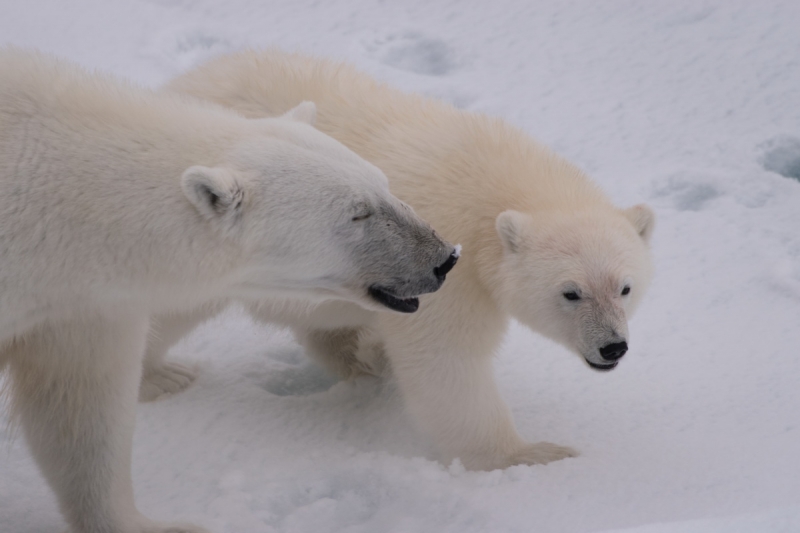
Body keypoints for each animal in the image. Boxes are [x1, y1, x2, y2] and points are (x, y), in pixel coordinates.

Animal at [0, 50, 456, 532]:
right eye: (358, 213)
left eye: (383, 183)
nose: (444, 259)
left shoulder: (79, 303)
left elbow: (79, 407)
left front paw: (156, 525)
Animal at [164, 50, 656, 470]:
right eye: (571, 293)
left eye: (625, 288)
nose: (613, 347)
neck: (486, 181)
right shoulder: (442, 268)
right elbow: (447, 362)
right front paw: (533, 455)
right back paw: (162, 377)